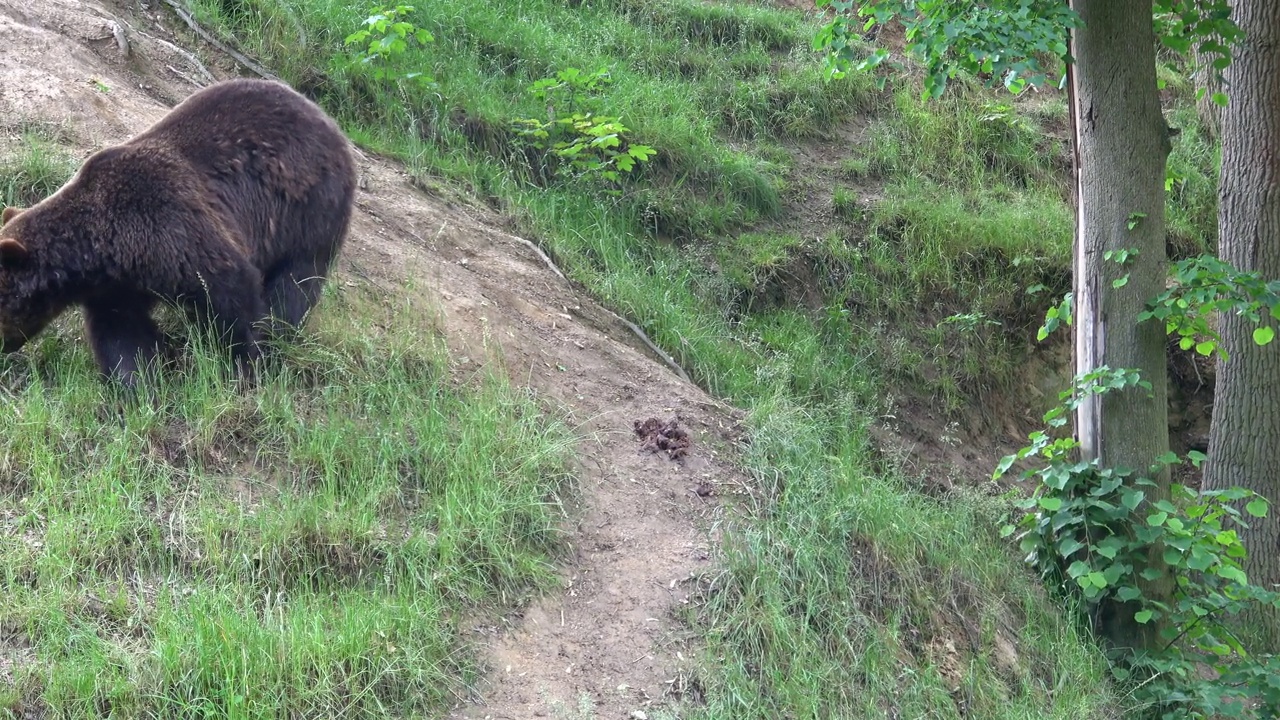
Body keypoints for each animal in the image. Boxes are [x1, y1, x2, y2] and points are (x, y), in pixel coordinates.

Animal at [0, 75, 355, 384]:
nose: (4, 351)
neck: (103, 250)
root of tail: (331, 122)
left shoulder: (170, 227)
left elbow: (231, 292)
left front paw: (246, 362)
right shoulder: (116, 287)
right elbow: (122, 335)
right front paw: (137, 386)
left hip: (308, 207)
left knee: (296, 282)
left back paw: (282, 334)